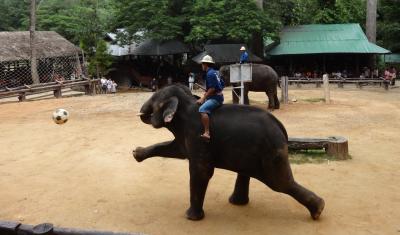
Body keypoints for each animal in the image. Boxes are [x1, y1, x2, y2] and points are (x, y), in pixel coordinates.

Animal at [134, 85, 324, 221]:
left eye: (154, 98)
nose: (143, 112)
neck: (187, 102)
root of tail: (282, 128)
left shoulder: (198, 136)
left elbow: (201, 171)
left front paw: (191, 218)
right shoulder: (186, 135)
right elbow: (176, 150)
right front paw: (136, 154)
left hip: (272, 152)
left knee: (281, 183)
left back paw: (319, 210)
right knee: (251, 174)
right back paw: (237, 202)